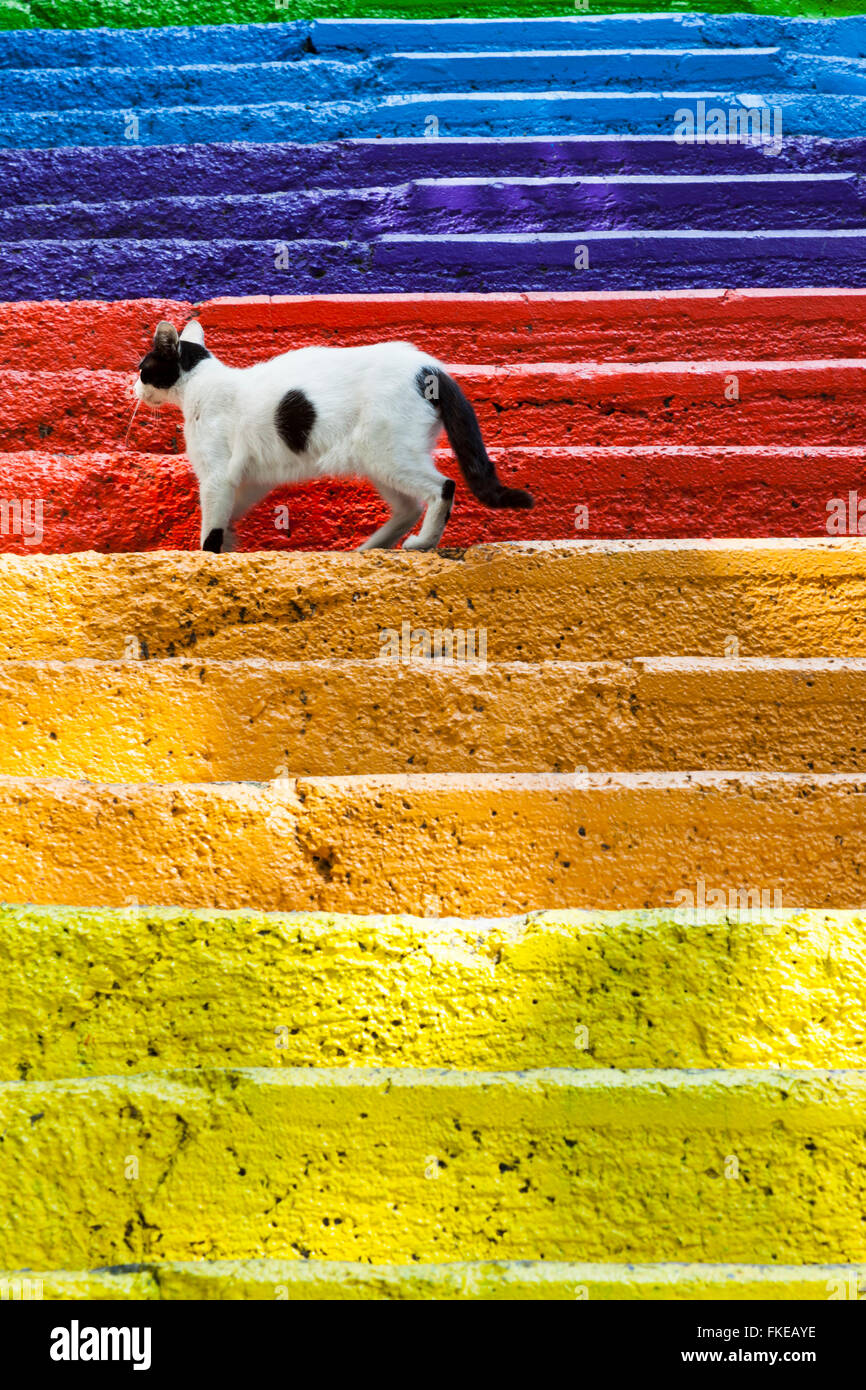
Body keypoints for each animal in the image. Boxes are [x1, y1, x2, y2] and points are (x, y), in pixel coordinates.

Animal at [134, 318, 530, 550]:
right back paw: (370, 548)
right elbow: (227, 518)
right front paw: (230, 543)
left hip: (388, 452)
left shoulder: (217, 476)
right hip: (378, 459)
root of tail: (431, 367)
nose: (133, 387)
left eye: (142, 369)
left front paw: (210, 555)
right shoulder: (251, 479)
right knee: (408, 506)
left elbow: (211, 529)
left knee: (442, 487)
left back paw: (421, 543)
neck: (199, 384)